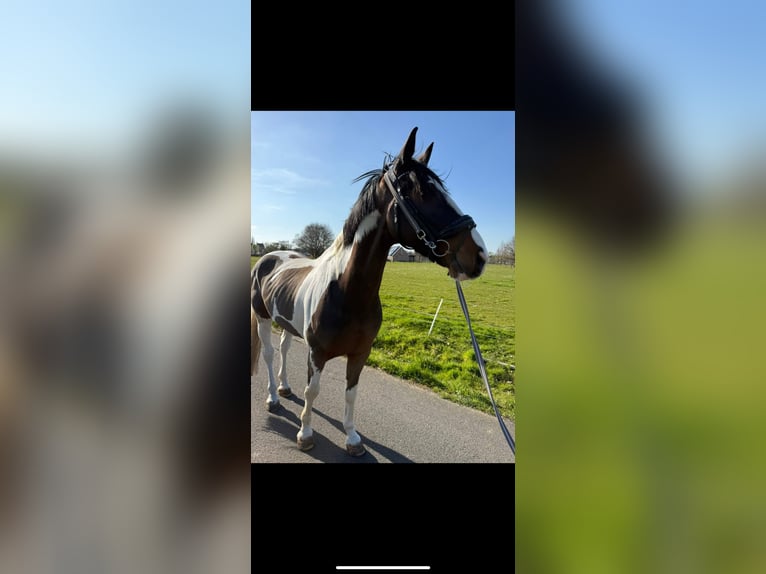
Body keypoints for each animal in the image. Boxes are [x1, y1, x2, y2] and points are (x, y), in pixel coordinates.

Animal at [251, 127, 487, 456]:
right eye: (423, 193)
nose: (479, 255)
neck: (348, 292)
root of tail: (270, 257)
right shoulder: (317, 353)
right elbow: (313, 391)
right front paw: (305, 434)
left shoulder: (361, 352)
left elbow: (351, 393)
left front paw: (352, 439)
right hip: (262, 318)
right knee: (271, 354)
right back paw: (273, 397)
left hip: (286, 322)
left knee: (284, 348)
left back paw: (285, 388)